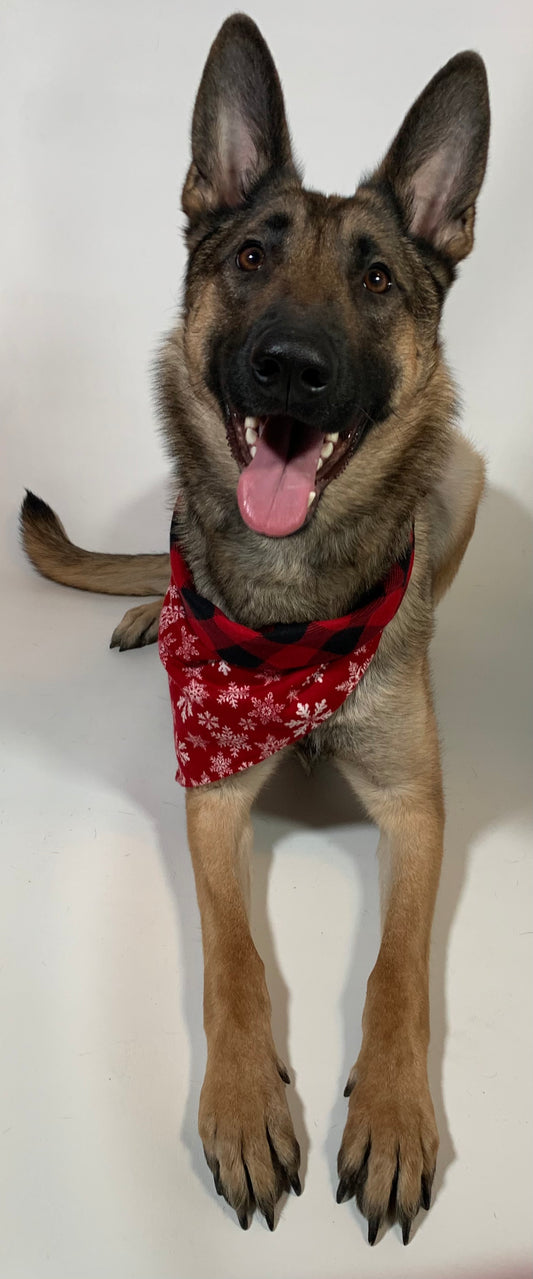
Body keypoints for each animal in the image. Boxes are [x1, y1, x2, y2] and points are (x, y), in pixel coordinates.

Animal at [18, 15, 488, 1243]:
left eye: (375, 278)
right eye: (248, 259)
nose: (290, 368)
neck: (292, 621)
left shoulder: (417, 809)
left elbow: (396, 972)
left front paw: (392, 1116)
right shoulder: (210, 793)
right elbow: (229, 961)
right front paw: (239, 1106)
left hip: (465, 470)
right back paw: (153, 601)